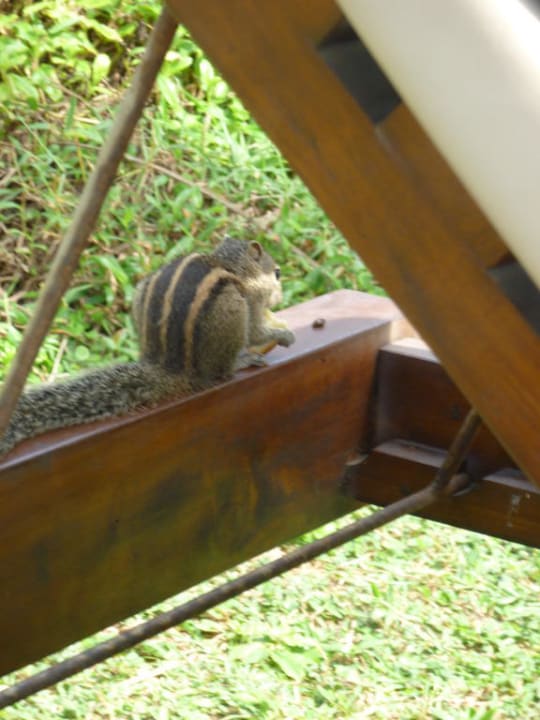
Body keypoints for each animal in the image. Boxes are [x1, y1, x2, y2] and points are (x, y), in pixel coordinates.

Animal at [0, 237, 295, 456]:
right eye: (277, 273)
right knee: (222, 370)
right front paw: (284, 334)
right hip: (232, 310)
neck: (232, 265)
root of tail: (170, 368)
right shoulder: (251, 299)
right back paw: (241, 361)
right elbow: (255, 331)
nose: (280, 296)